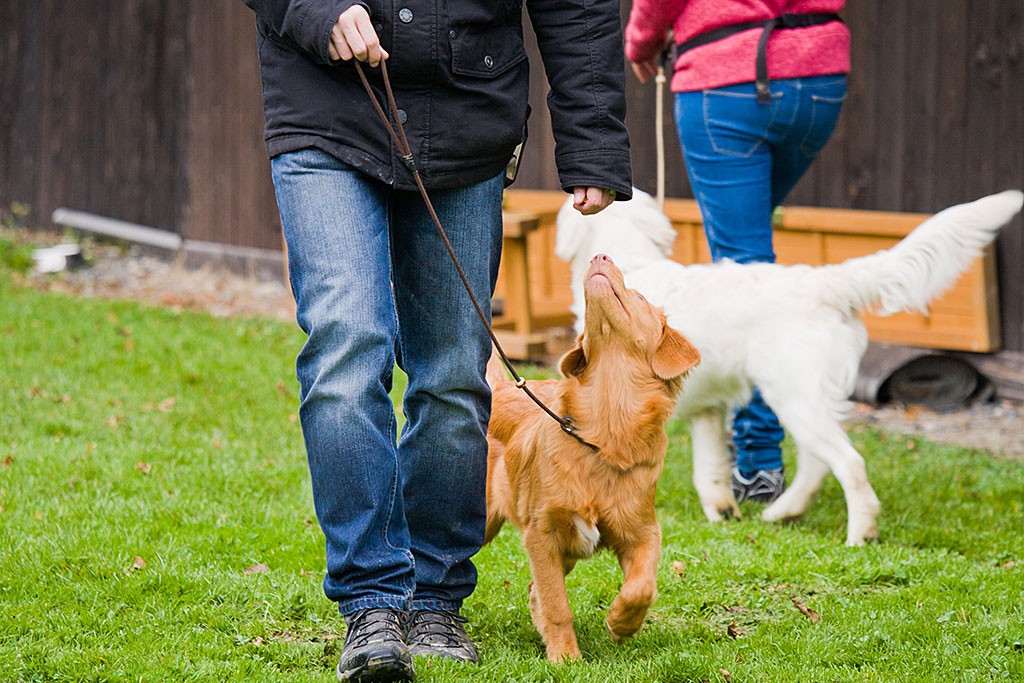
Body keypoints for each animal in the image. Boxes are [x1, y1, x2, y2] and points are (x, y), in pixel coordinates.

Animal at [483, 252, 700, 663]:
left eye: (639, 296)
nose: (600, 255)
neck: (608, 427)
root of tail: (501, 391)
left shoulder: (642, 530)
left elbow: (643, 585)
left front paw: (622, 622)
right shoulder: (542, 532)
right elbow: (557, 603)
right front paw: (565, 657)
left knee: (535, 590)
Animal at [561, 187, 1024, 544]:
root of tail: (825, 283)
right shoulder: (707, 408)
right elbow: (709, 471)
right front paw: (722, 513)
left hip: (793, 395)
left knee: (848, 464)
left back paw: (860, 534)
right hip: (803, 397)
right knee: (819, 462)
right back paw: (784, 512)